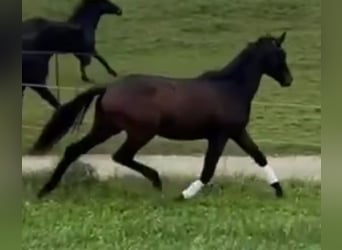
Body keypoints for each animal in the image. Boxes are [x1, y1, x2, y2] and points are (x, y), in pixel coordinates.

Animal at [30, 32, 294, 199]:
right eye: (279, 56)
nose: (289, 80)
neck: (230, 88)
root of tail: (109, 88)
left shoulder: (237, 132)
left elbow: (259, 156)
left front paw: (279, 190)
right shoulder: (219, 135)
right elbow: (208, 169)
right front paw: (184, 195)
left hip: (106, 128)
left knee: (74, 150)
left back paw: (46, 190)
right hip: (140, 132)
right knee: (121, 156)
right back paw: (157, 181)